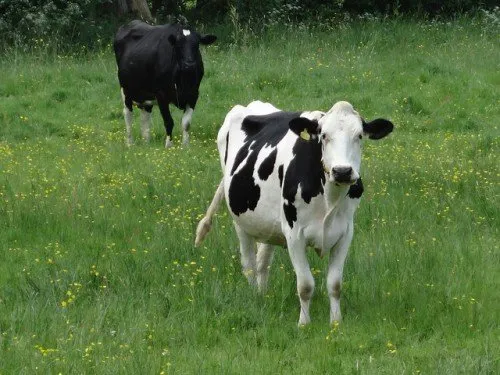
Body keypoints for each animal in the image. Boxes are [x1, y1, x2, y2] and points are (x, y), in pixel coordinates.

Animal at [195, 100, 394, 326]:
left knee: (263, 262)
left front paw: (336, 323)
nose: (342, 171)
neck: (329, 197)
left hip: (269, 223)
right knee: (249, 264)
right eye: (323, 135)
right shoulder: (294, 234)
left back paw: (263, 294)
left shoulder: (345, 233)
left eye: (359, 135)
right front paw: (304, 323)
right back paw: (255, 298)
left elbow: (335, 284)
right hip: (240, 219)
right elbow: (305, 285)